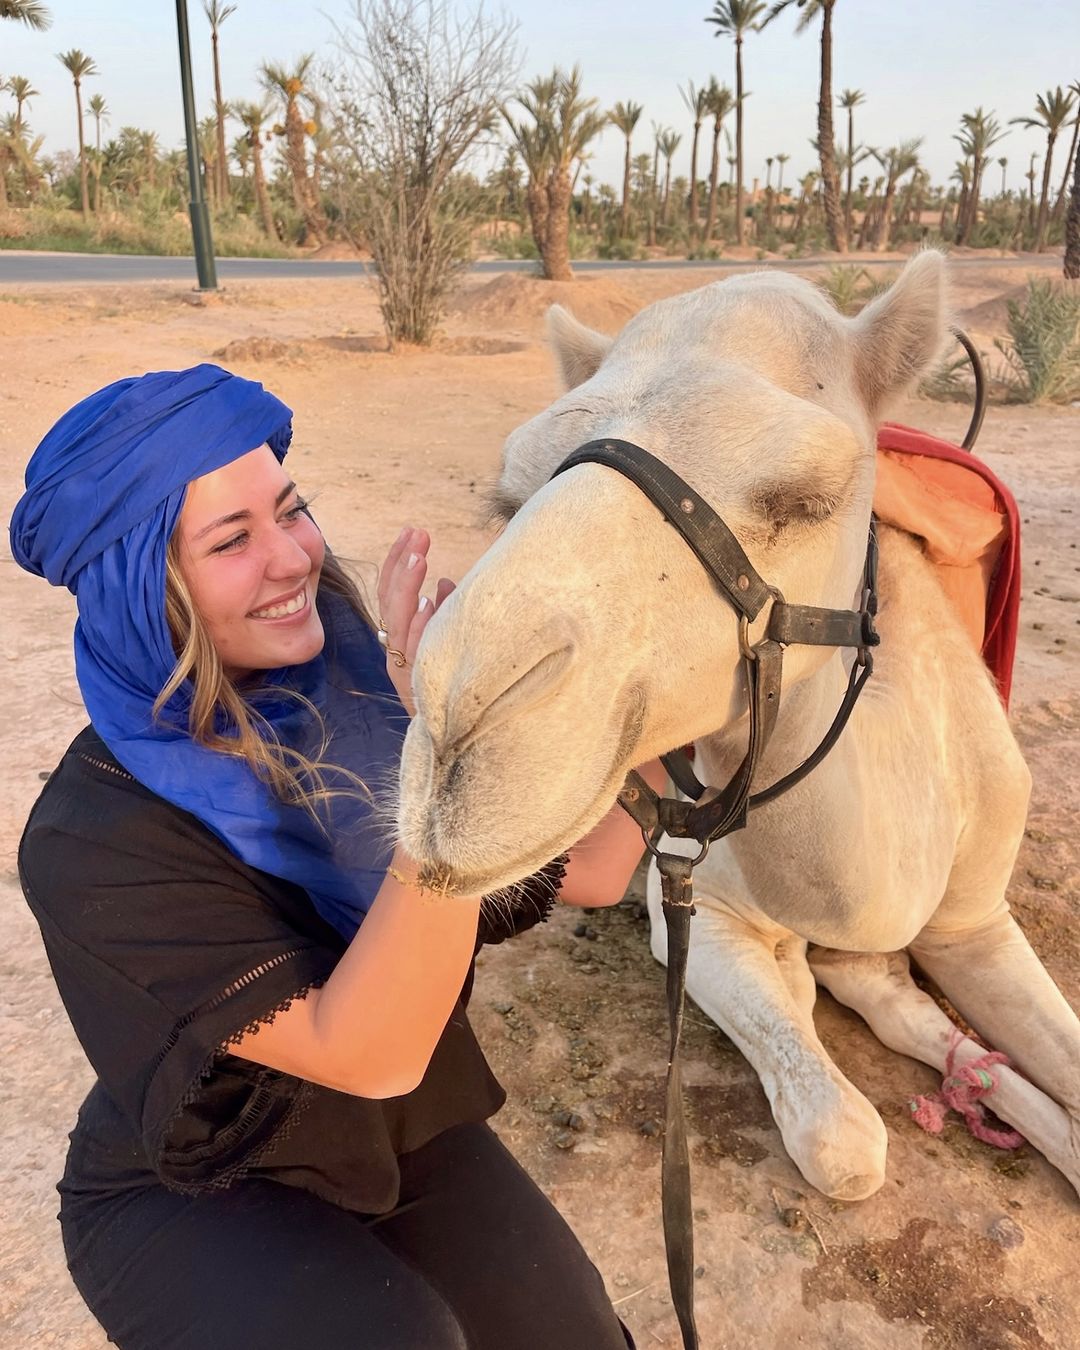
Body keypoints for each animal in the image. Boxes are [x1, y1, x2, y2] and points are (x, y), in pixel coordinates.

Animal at [396, 251, 1080, 1203]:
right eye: (510, 498)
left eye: (808, 497)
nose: (455, 729)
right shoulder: (692, 911)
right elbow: (844, 1144)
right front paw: (817, 977)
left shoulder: (977, 920)